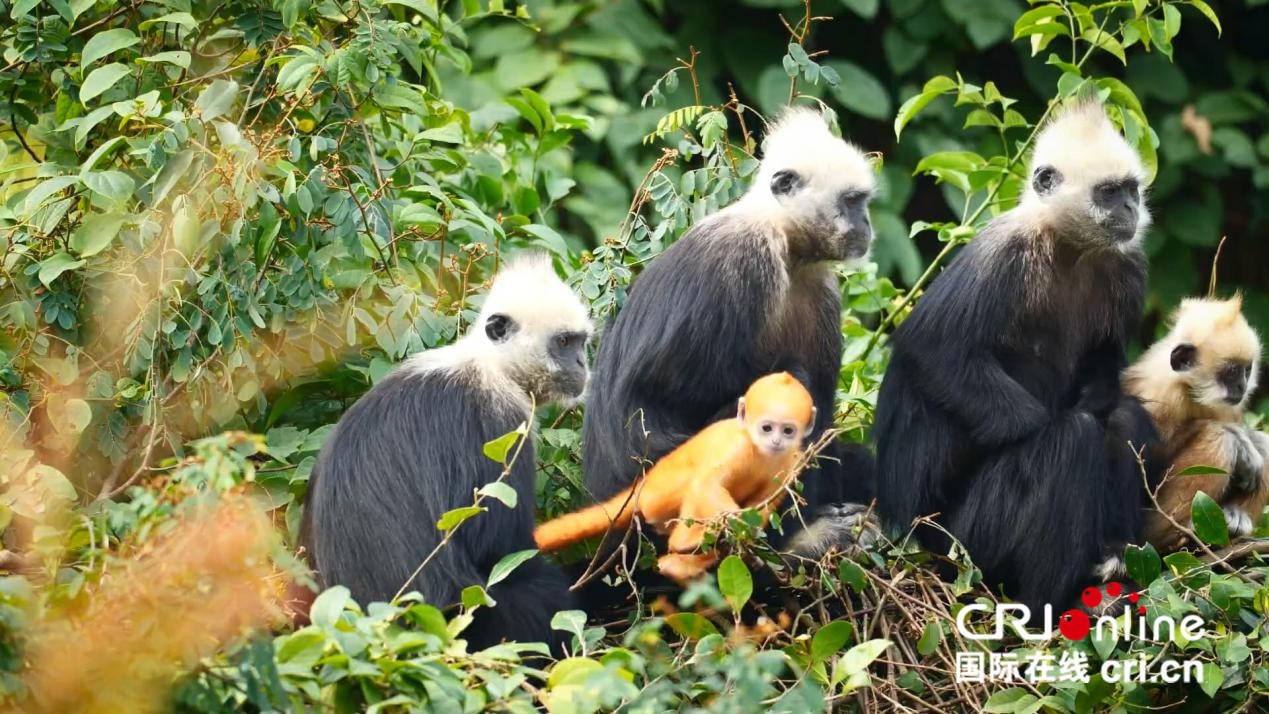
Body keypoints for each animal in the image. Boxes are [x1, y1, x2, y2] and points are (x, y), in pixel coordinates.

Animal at [532, 372, 812, 583]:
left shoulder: (792, 460)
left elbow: (765, 504)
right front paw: (735, 524)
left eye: (787, 430)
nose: (775, 441)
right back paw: (684, 544)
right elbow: (706, 484)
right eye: (766, 428)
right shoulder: (738, 447)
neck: (763, 454)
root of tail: (645, 485)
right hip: (661, 493)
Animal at [1126, 292, 1263, 550]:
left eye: (1246, 370)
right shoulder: (1163, 395)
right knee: (1221, 440)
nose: (1241, 386)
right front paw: (1239, 438)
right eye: (1231, 372)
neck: (1190, 389)